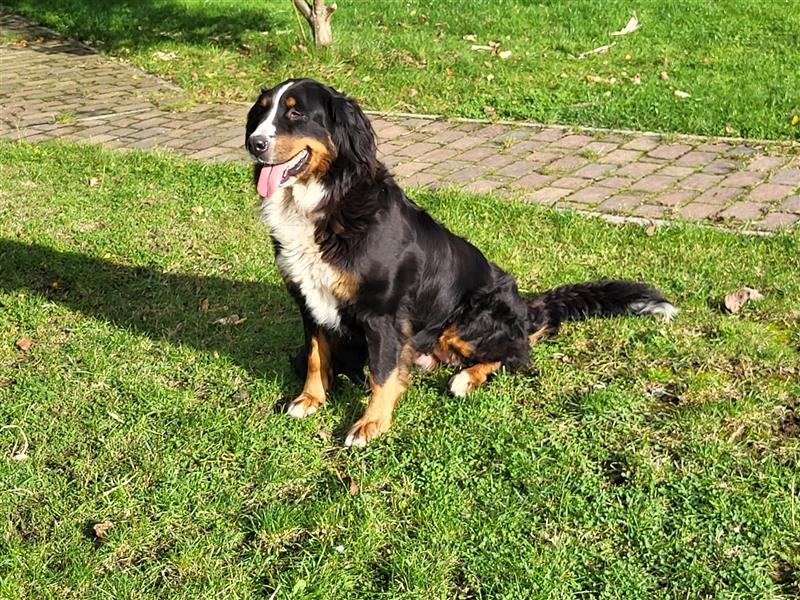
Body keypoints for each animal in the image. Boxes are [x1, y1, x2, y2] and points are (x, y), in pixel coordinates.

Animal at [245, 78, 676, 446]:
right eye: (261, 112)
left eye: (296, 114)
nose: (254, 143)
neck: (324, 200)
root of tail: (525, 308)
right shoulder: (309, 300)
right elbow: (315, 357)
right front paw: (311, 400)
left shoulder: (382, 314)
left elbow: (382, 374)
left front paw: (371, 424)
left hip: (469, 319)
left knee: (517, 351)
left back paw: (466, 379)